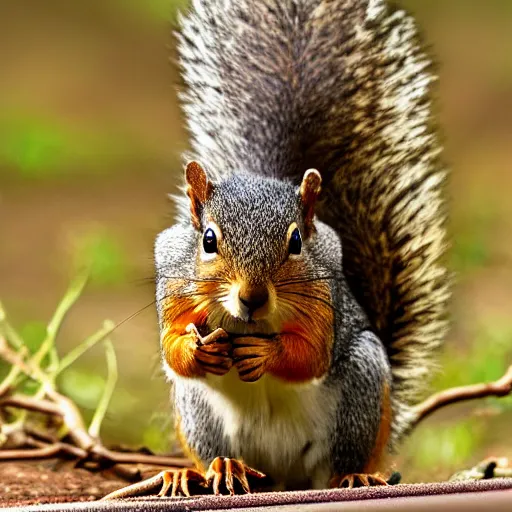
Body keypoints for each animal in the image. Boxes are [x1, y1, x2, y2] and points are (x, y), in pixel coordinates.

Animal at [104, 0, 448, 498]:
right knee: (215, 451)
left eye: (297, 242)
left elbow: (310, 355)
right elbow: (171, 347)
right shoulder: (171, 278)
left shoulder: (324, 299)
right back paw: (211, 469)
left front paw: (267, 354)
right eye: (208, 240)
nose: (252, 298)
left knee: (343, 455)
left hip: (362, 384)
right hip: (198, 411)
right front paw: (195, 350)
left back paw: (353, 475)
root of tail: (282, 476)